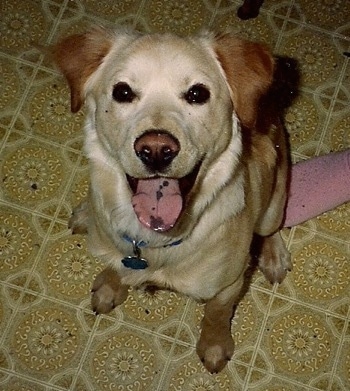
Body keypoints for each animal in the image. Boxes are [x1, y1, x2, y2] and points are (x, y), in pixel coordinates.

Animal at [52, 27, 292, 374]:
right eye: (122, 92)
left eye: (197, 94)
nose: (155, 150)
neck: (151, 242)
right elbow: (116, 267)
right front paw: (111, 284)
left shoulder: (228, 286)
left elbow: (216, 316)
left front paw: (214, 345)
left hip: (275, 195)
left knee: (270, 228)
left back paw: (273, 256)